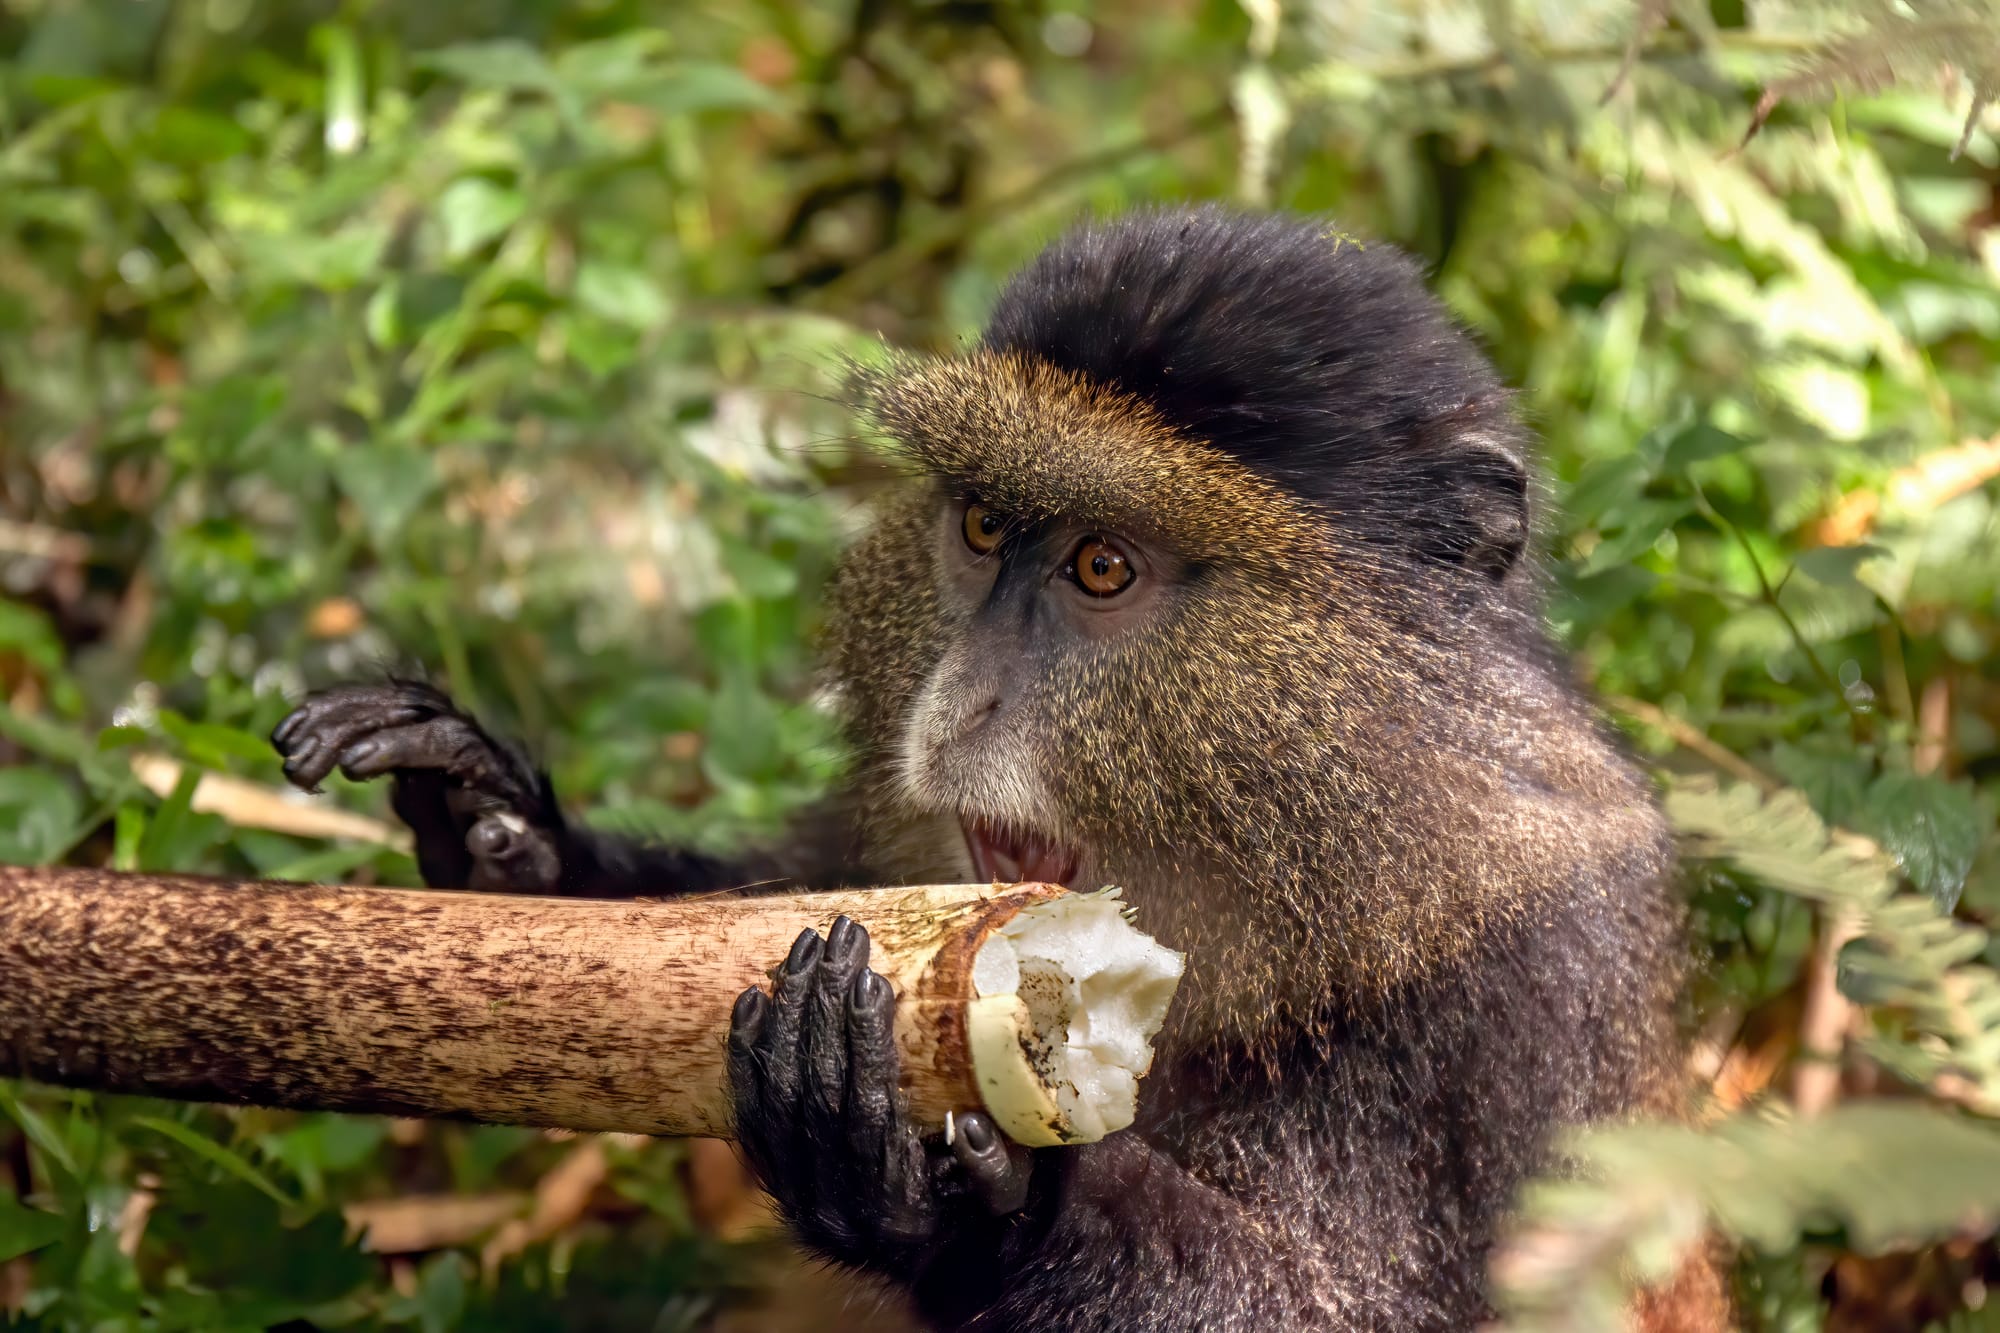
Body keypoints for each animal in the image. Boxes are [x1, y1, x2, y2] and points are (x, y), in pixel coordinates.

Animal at [272, 206, 1730, 1331]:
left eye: (1102, 566)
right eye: (980, 526)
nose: (954, 704)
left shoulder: (1527, 982)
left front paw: (965, 1209)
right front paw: (498, 825)